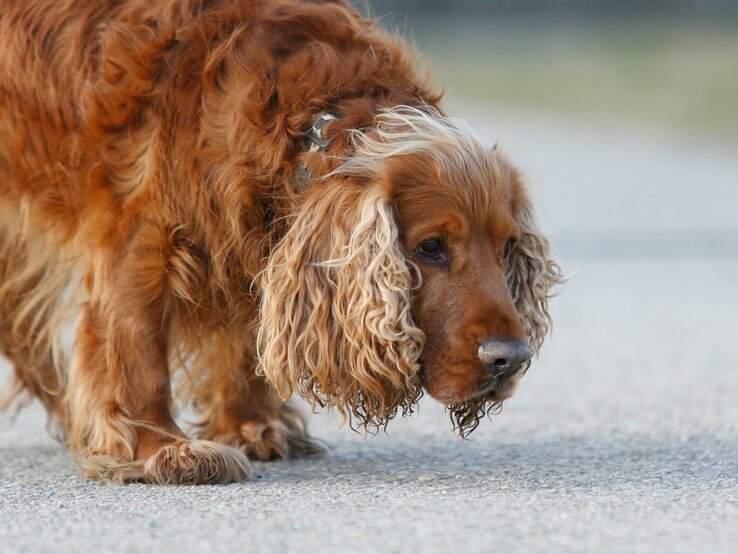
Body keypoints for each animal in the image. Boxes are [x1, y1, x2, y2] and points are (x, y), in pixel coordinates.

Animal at [0, 0, 556, 484]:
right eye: (431, 247)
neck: (313, 121)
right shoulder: (137, 237)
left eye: (508, 247)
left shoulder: (247, 244)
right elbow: (136, 349)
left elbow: (246, 342)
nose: (511, 358)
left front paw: (252, 426)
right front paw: (161, 450)